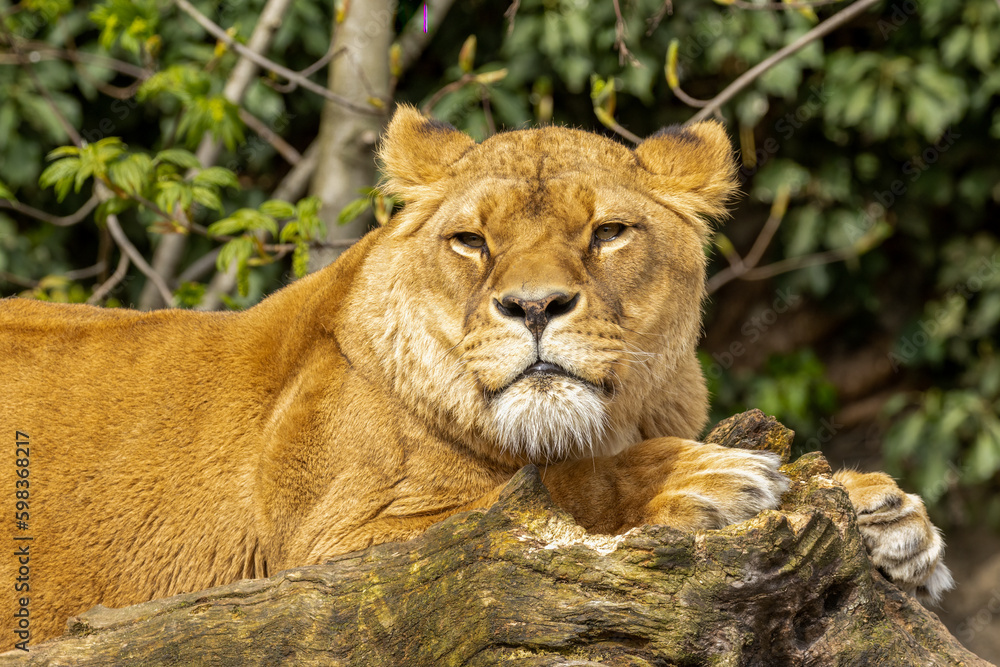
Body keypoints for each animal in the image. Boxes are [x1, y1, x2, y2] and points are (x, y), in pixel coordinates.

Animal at [0, 105, 951, 645]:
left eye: (609, 232)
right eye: (471, 241)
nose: (533, 306)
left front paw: (886, 513)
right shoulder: (326, 560)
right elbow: (547, 495)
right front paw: (705, 477)